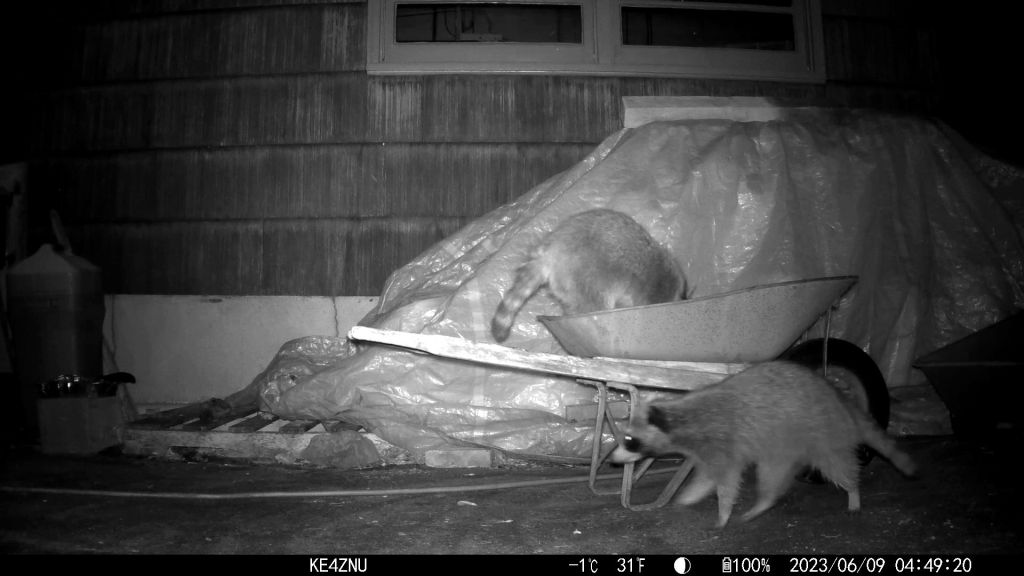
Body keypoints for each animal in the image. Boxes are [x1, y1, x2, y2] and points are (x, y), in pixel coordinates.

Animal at [610, 361, 917, 527]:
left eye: (629, 440)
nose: (612, 460)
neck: (680, 416)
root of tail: (840, 399)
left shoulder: (721, 443)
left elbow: (727, 481)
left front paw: (723, 511)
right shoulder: (708, 450)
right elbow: (707, 477)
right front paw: (692, 494)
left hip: (819, 434)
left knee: (834, 466)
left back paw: (852, 491)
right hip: (782, 446)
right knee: (774, 475)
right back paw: (765, 502)